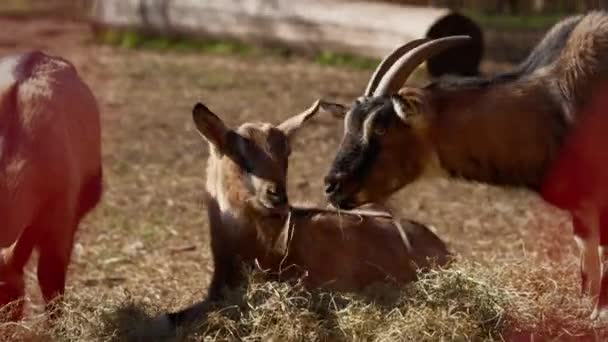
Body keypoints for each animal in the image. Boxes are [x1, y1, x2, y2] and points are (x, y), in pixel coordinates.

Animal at [324, 10, 608, 320]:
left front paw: (600, 313)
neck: (558, 100)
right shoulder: (582, 205)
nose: (332, 186)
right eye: (349, 124)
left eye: (381, 127)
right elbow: (586, 252)